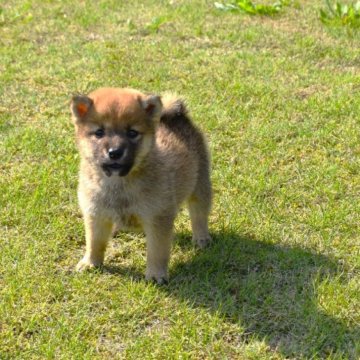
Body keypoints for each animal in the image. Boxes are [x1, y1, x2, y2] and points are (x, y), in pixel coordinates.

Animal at [70, 88, 211, 284]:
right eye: (99, 132)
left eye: (132, 133)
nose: (115, 152)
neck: (119, 184)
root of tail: (176, 117)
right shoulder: (95, 214)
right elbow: (94, 243)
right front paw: (90, 263)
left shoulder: (157, 218)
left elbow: (157, 251)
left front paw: (156, 274)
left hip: (200, 185)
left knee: (199, 214)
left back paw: (201, 238)